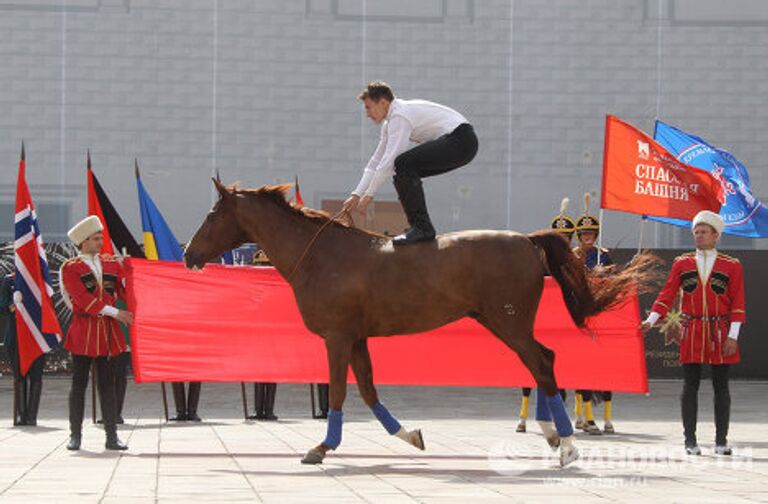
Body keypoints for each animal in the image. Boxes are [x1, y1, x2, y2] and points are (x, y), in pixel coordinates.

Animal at [183, 180, 652, 464]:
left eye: (211, 215)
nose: (188, 254)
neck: (322, 255)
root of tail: (527, 240)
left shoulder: (336, 337)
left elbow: (338, 391)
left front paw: (322, 446)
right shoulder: (357, 338)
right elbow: (369, 391)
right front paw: (409, 435)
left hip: (509, 322)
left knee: (541, 362)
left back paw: (566, 443)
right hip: (502, 323)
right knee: (544, 360)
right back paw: (552, 433)